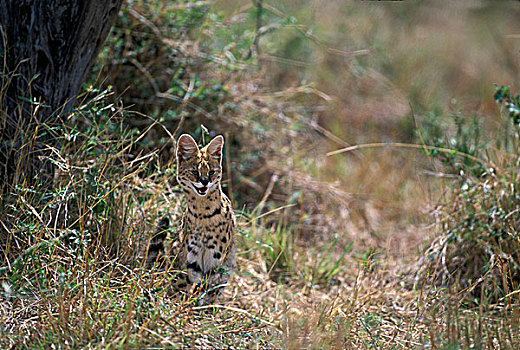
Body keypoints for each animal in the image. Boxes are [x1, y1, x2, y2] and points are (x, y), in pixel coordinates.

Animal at [146, 134, 236, 304]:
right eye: (195, 171)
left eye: (211, 172)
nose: (205, 182)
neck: (203, 214)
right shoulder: (190, 259)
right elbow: (183, 288)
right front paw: (178, 306)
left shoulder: (215, 261)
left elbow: (207, 293)